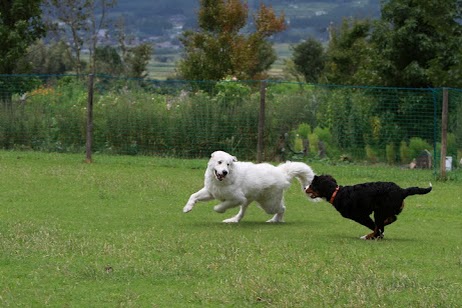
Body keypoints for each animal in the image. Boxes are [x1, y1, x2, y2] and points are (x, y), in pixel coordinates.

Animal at [182, 150, 316, 223]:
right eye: (219, 162)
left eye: (228, 164)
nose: (224, 172)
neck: (222, 181)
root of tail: (282, 173)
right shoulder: (210, 192)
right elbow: (193, 196)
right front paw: (187, 208)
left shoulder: (237, 199)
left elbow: (222, 206)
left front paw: (218, 209)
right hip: (250, 201)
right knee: (241, 214)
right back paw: (233, 220)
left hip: (268, 204)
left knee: (282, 208)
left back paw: (275, 220)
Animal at [304, 174, 432, 239]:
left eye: (312, 184)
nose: (305, 187)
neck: (337, 193)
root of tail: (402, 190)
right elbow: (377, 227)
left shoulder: (361, 216)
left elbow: (374, 227)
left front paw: (376, 235)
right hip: (384, 210)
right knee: (390, 219)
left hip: (379, 211)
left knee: (380, 224)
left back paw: (368, 236)